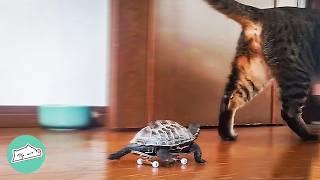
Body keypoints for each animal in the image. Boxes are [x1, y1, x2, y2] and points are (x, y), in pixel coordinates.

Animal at [205, 0, 320, 141]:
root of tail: (263, 13)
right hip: (296, 74)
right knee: (289, 112)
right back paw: (309, 135)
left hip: (253, 73)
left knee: (229, 99)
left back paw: (227, 134)